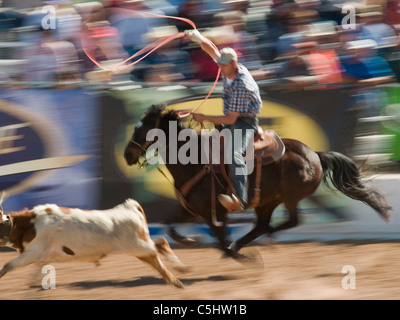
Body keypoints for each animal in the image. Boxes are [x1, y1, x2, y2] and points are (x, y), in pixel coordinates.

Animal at [0, 198, 188, 288]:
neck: (31, 224)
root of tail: (129, 208)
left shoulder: (33, 252)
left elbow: (8, 265)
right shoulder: (40, 256)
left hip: (137, 246)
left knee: (159, 246)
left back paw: (175, 278)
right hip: (139, 246)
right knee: (159, 246)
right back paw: (177, 275)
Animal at [123, 105, 392, 258]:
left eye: (143, 129)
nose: (127, 155)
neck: (194, 162)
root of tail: (315, 154)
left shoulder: (214, 211)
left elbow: (219, 235)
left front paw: (237, 255)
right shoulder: (190, 209)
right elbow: (170, 226)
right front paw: (190, 241)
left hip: (290, 196)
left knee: (291, 221)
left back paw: (254, 242)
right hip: (266, 201)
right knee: (262, 225)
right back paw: (244, 243)